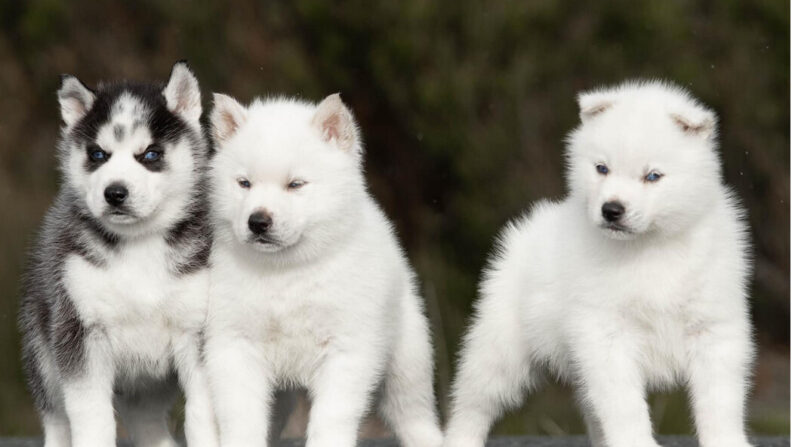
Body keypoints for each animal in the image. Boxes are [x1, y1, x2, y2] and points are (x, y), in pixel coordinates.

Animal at [19, 62, 218, 447]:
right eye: (98, 155)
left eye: (151, 154)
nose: (115, 193)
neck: (139, 244)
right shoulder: (80, 331)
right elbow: (91, 415)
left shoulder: (198, 330)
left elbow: (203, 412)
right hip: (43, 355)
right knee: (56, 419)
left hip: (147, 386)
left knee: (148, 424)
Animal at [204, 92, 442, 447]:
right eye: (244, 183)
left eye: (295, 184)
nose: (258, 221)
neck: (285, 271)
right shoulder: (234, 344)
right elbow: (241, 417)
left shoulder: (346, 348)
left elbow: (332, 416)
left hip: (406, 362)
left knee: (414, 414)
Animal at [444, 80, 756, 447]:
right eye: (601, 168)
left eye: (653, 176)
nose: (611, 210)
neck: (649, 248)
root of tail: (530, 226)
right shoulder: (606, 335)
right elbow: (625, 406)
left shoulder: (714, 331)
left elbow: (720, 402)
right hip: (502, 345)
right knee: (473, 404)